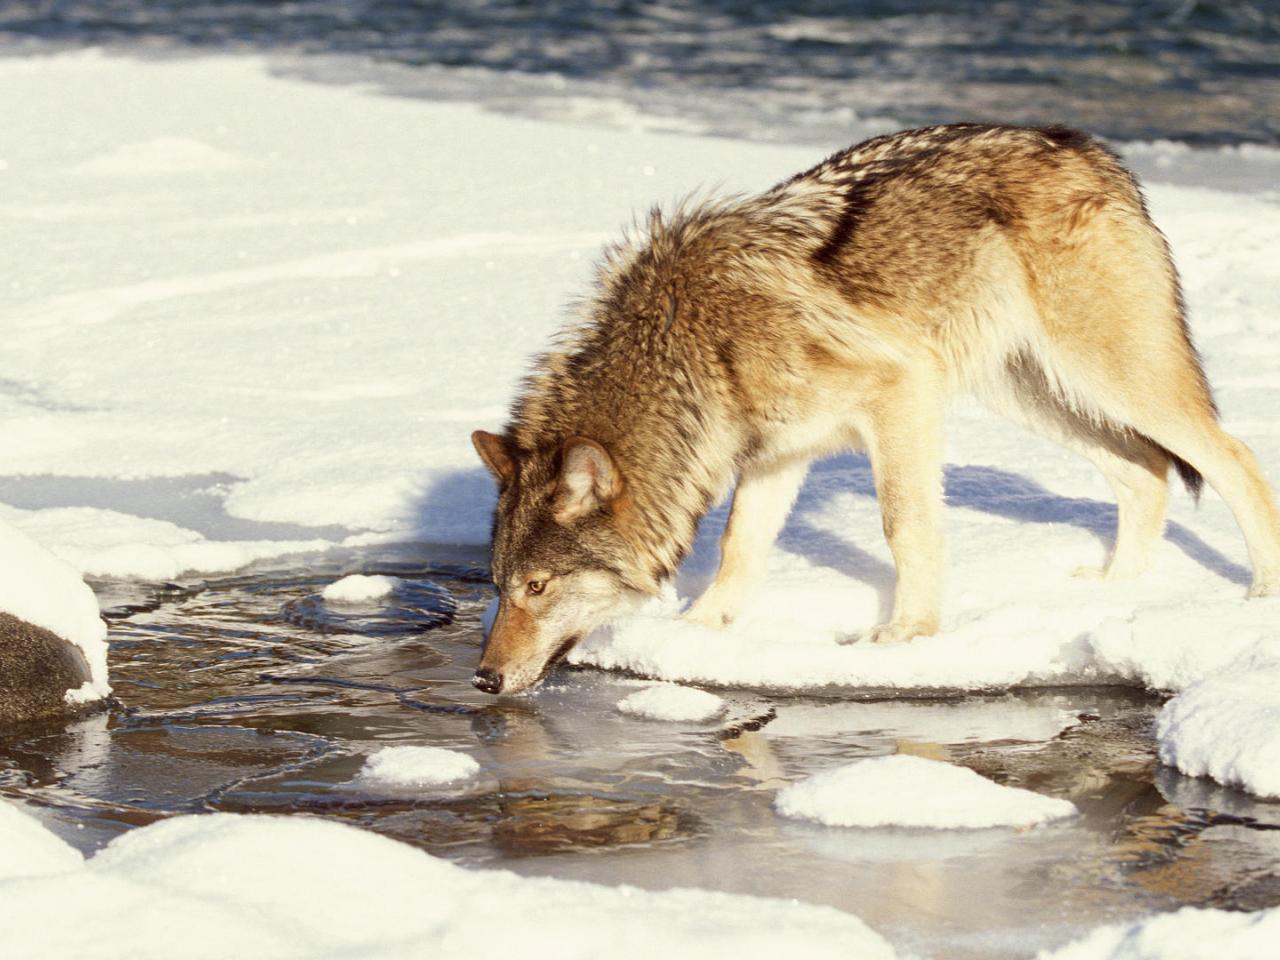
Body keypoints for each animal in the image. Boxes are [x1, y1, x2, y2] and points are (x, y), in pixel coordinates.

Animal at [471, 126, 1280, 701]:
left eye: (538, 588)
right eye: (499, 586)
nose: (482, 678)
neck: (688, 344)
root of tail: (1097, 154)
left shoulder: (900, 394)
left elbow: (905, 527)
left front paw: (908, 635)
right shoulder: (775, 452)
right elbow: (739, 547)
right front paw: (699, 632)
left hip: (1108, 378)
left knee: (1235, 459)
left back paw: (1259, 597)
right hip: (1032, 393)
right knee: (1145, 471)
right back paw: (1113, 590)